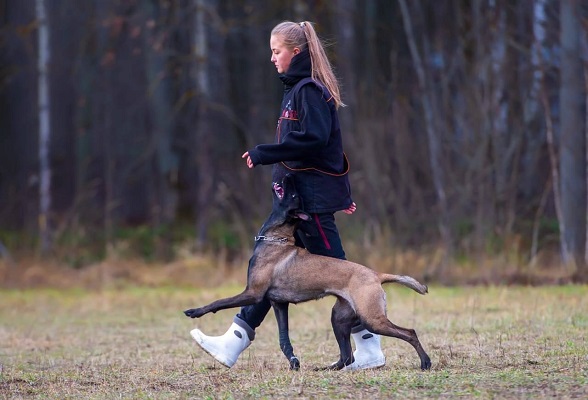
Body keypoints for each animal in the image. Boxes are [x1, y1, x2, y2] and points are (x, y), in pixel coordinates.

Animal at [184, 175, 432, 372]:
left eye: (293, 194)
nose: (288, 175)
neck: (275, 239)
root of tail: (376, 274)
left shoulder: (253, 293)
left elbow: (219, 302)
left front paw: (195, 311)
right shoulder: (278, 304)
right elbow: (284, 338)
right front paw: (293, 362)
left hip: (372, 318)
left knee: (409, 332)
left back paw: (425, 363)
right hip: (339, 317)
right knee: (346, 355)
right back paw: (327, 369)